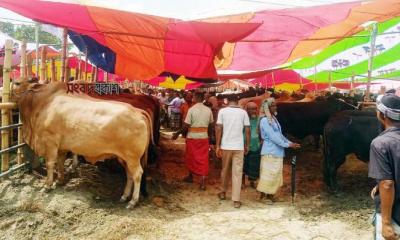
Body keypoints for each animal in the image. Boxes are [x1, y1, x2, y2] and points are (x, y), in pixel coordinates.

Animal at [12, 79, 152, 208]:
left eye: (17, 83)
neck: (44, 101)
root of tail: (138, 112)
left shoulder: (50, 142)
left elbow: (50, 164)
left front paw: (47, 185)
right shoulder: (62, 147)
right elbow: (60, 162)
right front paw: (60, 181)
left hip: (132, 158)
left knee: (137, 174)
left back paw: (133, 201)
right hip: (124, 158)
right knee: (129, 175)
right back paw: (124, 196)